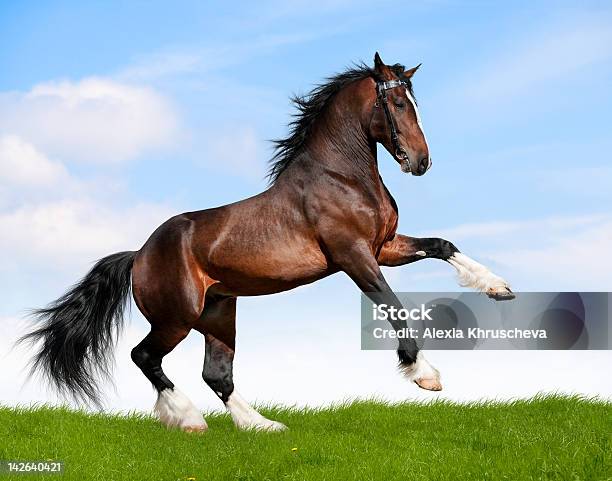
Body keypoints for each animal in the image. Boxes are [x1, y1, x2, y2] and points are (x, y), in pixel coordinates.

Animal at [21, 52, 512, 432]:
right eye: (394, 102)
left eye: (414, 101)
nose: (420, 161)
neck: (342, 176)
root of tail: (139, 255)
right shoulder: (354, 256)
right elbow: (394, 307)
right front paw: (425, 374)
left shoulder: (383, 248)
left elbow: (442, 245)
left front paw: (498, 288)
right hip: (177, 317)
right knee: (144, 356)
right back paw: (188, 419)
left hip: (219, 314)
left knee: (217, 375)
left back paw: (262, 425)